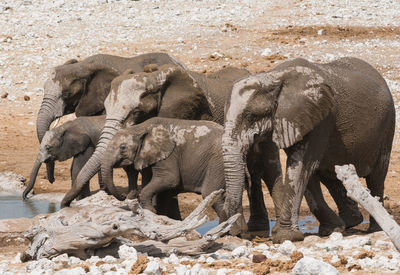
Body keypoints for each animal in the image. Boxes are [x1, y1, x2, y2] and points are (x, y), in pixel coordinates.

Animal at [223, 56, 396, 244]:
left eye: (249, 116)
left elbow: (302, 167)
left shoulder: (320, 118)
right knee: (329, 174)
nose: (240, 234)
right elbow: (299, 169)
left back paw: (375, 228)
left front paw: (285, 237)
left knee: (376, 177)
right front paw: (332, 229)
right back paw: (351, 222)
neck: (273, 77)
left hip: (387, 128)